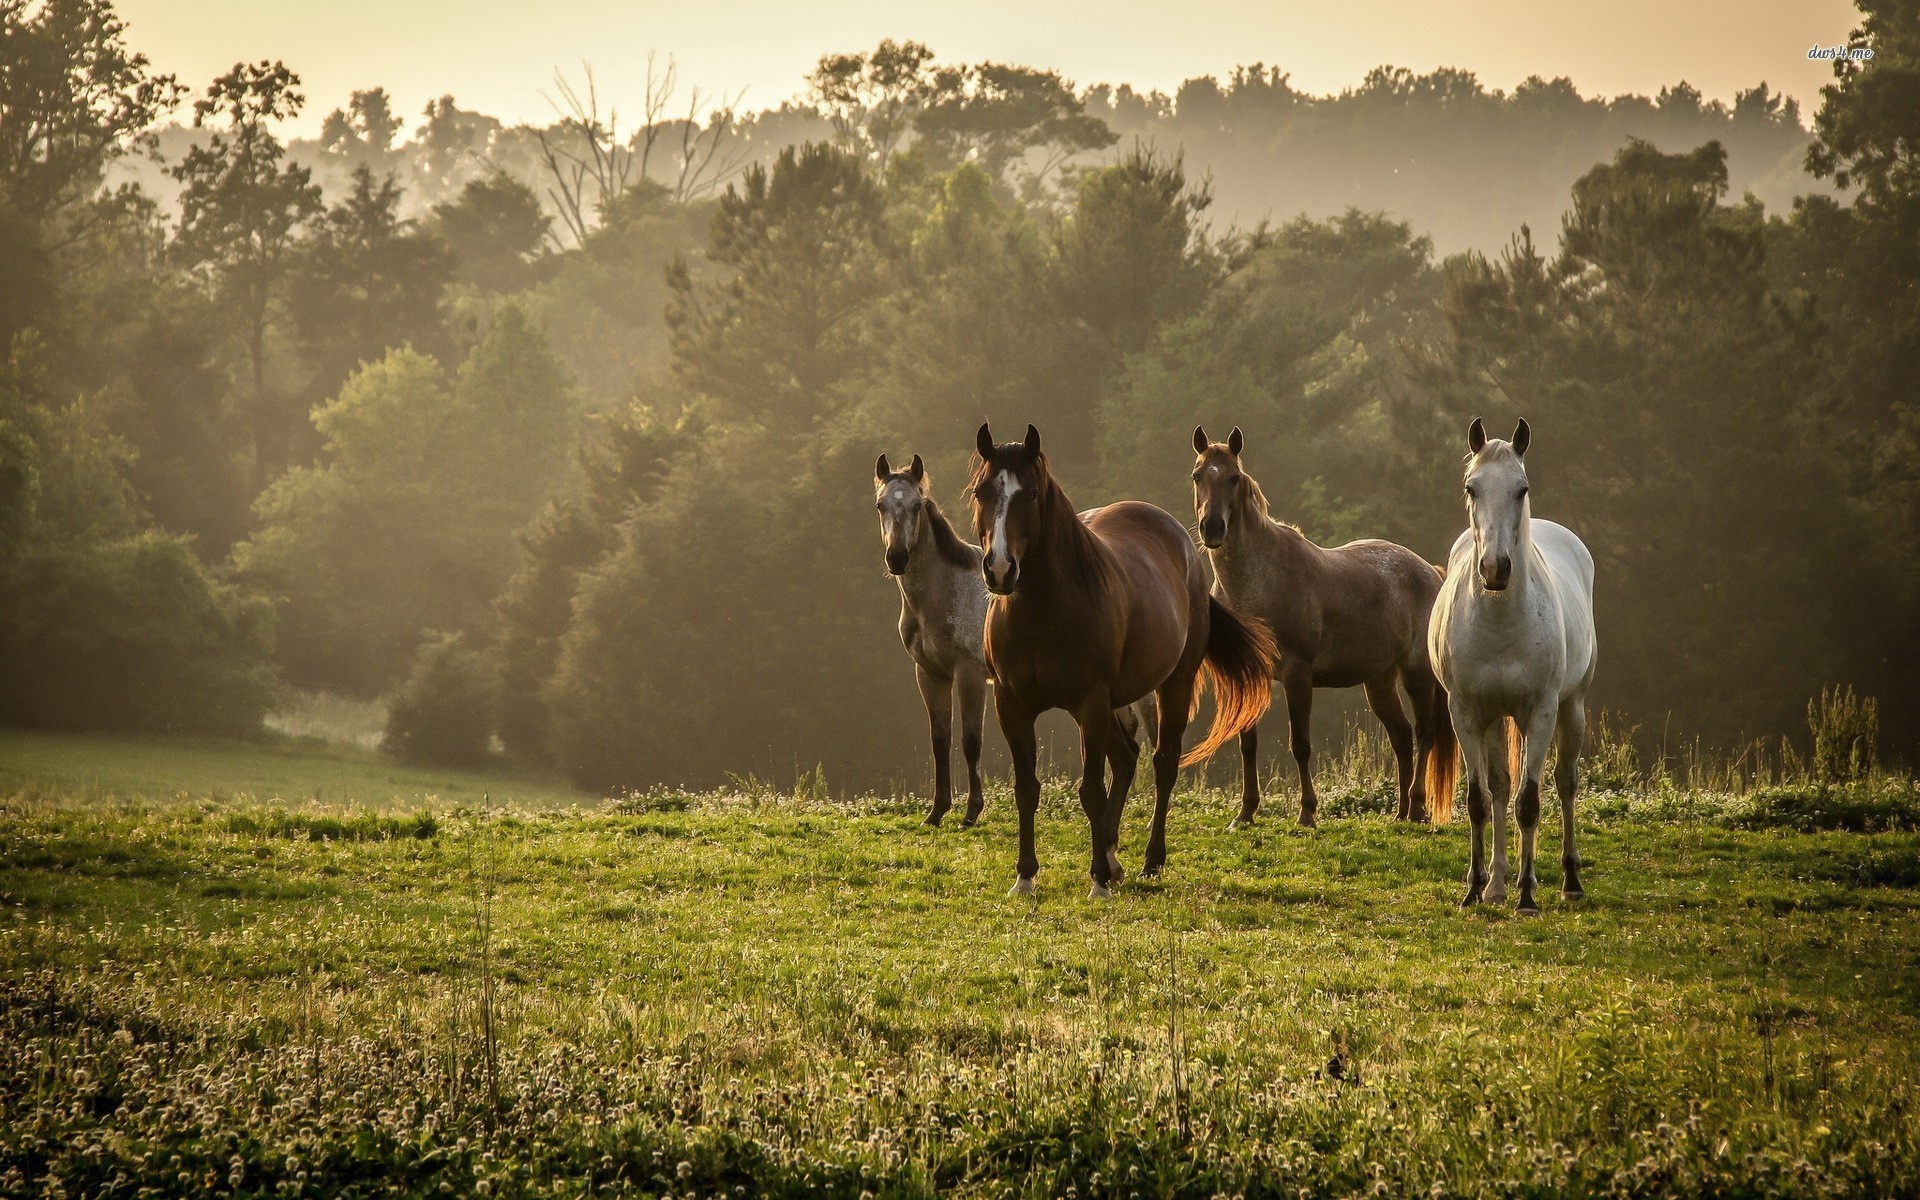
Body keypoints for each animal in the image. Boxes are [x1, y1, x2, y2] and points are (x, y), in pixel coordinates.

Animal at [975, 416, 1274, 894]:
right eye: (981, 492)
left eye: (1032, 494)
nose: (1000, 569)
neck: (1042, 612)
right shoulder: (1012, 705)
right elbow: (1027, 789)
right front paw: (1025, 876)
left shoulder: (1090, 704)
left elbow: (1091, 791)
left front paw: (1097, 878)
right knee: (1127, 758)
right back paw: (1115, 857)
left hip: (1171, 685)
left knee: (1161, 764)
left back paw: (1149, 860)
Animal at [1182, 426, 1451, 829]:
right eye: (1198, 475)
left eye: (1233, 478)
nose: (1212, 528)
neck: (1258, 583)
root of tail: (1430, 572)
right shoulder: (1252, 675)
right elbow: (1248, 744)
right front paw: (1245, 813)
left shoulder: (1298, 675)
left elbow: (1300, 745)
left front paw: (1307, 811)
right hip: (1379, 679)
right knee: (1401, 736)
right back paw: (1401, 812)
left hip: (1416, 672)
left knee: (1424, 732)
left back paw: (1418, 806)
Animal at [1436, 416, 1597, 913]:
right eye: (1471, 488)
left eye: (1521, 489)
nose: (1494, 568)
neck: (1501, 622)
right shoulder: (1467, 713)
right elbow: (1480, 799)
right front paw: (1474, 889)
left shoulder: (1540, 712)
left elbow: (1530, 803)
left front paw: (1527, 894)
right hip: (1495, 719)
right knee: (1501, 787)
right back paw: (1496, 884)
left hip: (1570, 708)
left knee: (1564, 782)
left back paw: (1569, 880)